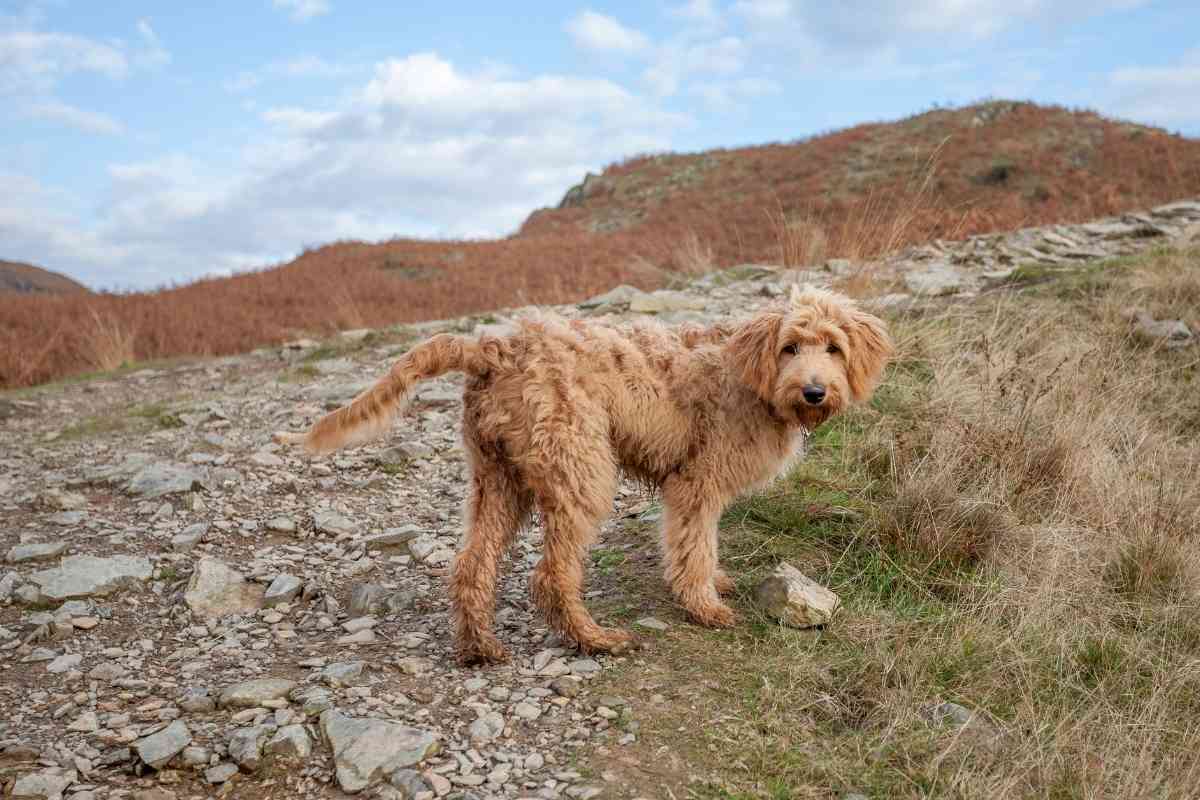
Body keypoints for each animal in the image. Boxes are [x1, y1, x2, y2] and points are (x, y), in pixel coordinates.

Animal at [274, 286, 892, 662]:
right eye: (791, 346)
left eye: (833, 347)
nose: (814, 392)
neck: (748, 372)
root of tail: (493, 347)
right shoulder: (696, 484)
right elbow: (694, 547)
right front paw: (704, 606)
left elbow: (700, 546)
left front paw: (713, 584)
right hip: (581, 472)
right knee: (551, 574)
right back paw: (594, 639)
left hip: (496, 478)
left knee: (472, 566)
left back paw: (480, 648)